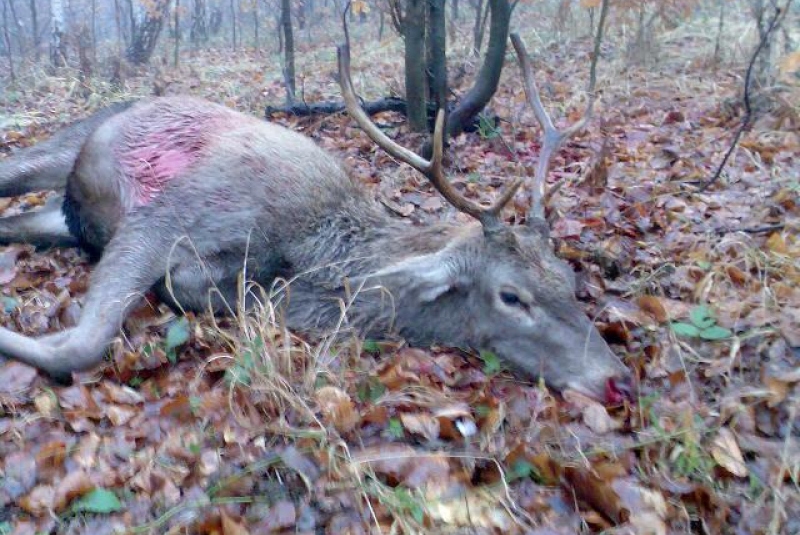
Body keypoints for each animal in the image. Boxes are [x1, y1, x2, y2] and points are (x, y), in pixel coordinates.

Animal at [0, 49, 632, 402]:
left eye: (569, 282)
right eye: (511, 296)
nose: (618, 380)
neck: (309, 251)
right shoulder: (170, 215)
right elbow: (80, 345)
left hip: (64, 212)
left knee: (19, 220)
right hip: (69, 145)